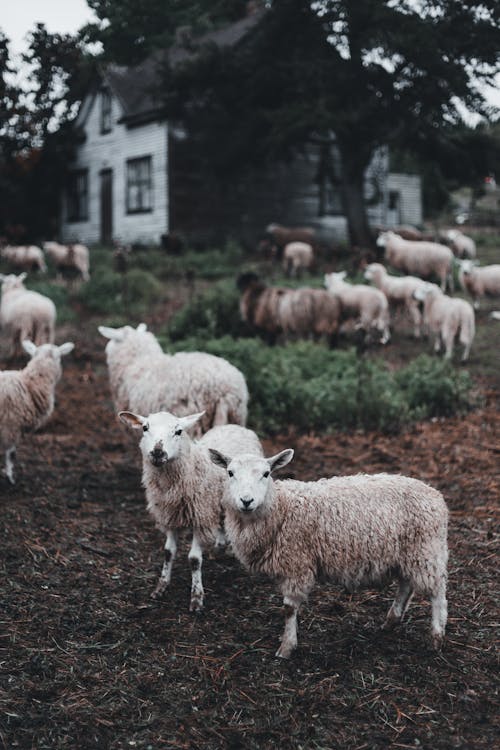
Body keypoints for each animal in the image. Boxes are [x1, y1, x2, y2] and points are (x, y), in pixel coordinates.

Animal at [119, 412, 264, 612]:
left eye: (179, 431)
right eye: (145, 428)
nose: (157, 452)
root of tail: (235, 426)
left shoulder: (200, 516)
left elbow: (194, 559)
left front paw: (196, 597)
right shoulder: (169, 515)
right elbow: (168, 552)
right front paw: (161, 586)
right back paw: (219, 545)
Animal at [209, 450, 448, 660]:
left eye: (266, 473)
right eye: (230, 473)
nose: (246, 501)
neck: (281, 509)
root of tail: (436, 495)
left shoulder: (297, 563)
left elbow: (288, 608)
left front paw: (286, 647)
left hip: (427, 550)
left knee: (437, 593)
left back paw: (436, 637)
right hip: (409, 553)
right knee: (407, 584)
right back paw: (391, 620)